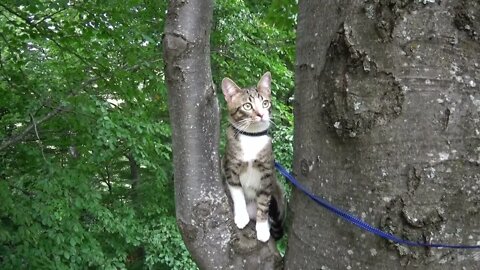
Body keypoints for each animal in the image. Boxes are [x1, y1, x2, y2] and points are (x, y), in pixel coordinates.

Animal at [221, 71, 284, 243]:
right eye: (247, 106)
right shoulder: (230, 166)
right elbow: (237, 193)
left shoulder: (267, 173)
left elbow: (263, 203)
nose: (261, 114)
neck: (252, 137)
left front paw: (262, 229)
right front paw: (241, 216)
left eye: (265, 103)